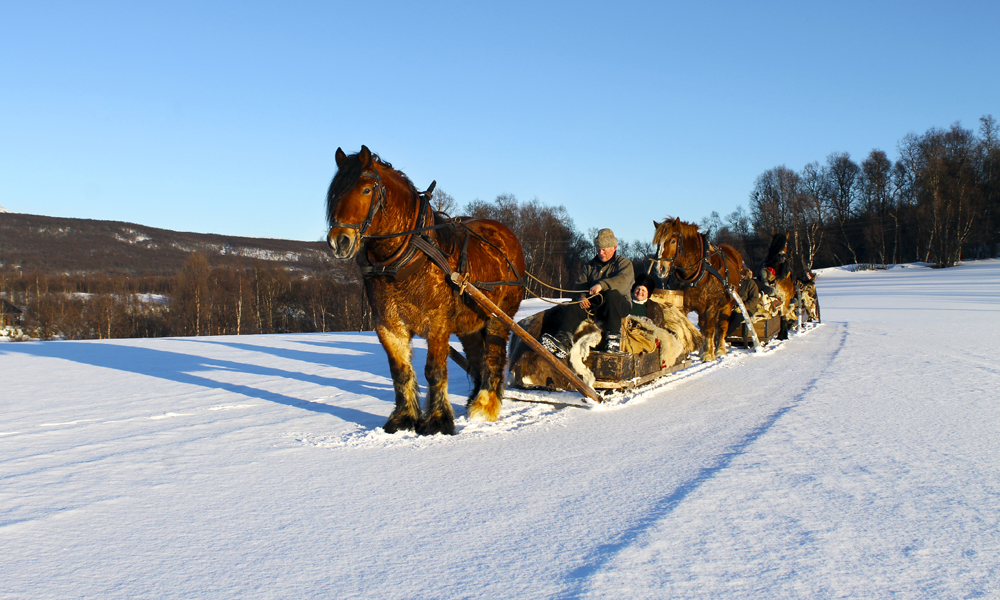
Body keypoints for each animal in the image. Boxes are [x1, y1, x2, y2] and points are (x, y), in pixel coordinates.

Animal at [330, 145, 532, 436]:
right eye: (335, 192)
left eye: (366, 189)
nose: (339, 241)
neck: (404, 258)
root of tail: (508, 235)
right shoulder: (388, 326)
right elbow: (400, 371)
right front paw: (402, 419)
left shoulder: (437, 324)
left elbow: (434, 371)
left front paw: (437, 421)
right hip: (469, 323)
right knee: (477, 357)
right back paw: (473, 402)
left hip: (499, 315)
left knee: (493, 355)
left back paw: (485, 405)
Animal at [652, 219, 748, 360]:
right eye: (658, 243)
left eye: (673, 241)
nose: (660, 269)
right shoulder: (685, 305)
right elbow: (686, 326)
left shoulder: (712, 305)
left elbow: (710, 329)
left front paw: (708, 355)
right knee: (703, 326)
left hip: (727, 304)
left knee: (721, 327)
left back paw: (719, 350)